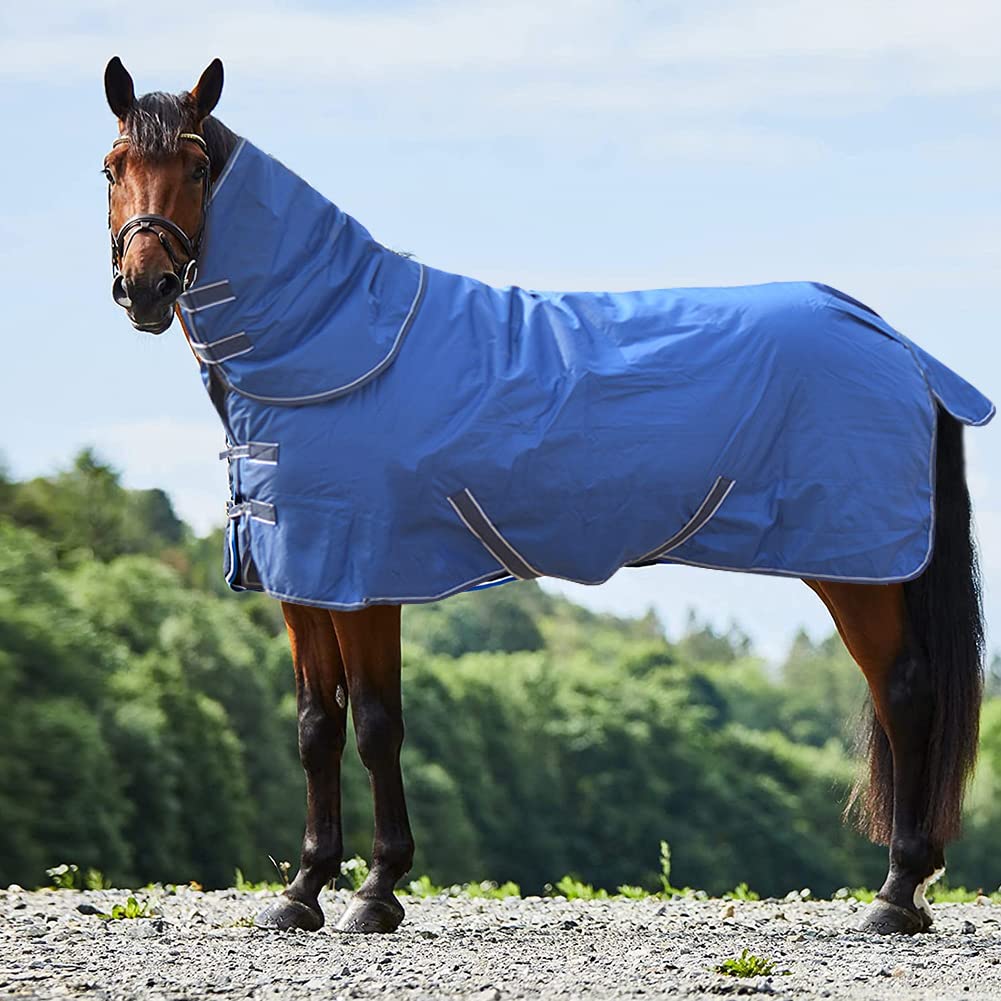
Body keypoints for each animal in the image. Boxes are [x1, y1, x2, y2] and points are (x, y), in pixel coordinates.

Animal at [101, 56, 990, 938]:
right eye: (113, 167)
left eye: (197, 167)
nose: (145, 287)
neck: (330, 343)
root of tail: (897, 344)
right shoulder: (302, 579)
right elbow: (316, 727)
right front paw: (302, 888)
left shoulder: (362, 577)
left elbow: (378, 725)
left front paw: (375, 891)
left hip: (856, 569)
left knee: (904, 694)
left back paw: (895, 894)